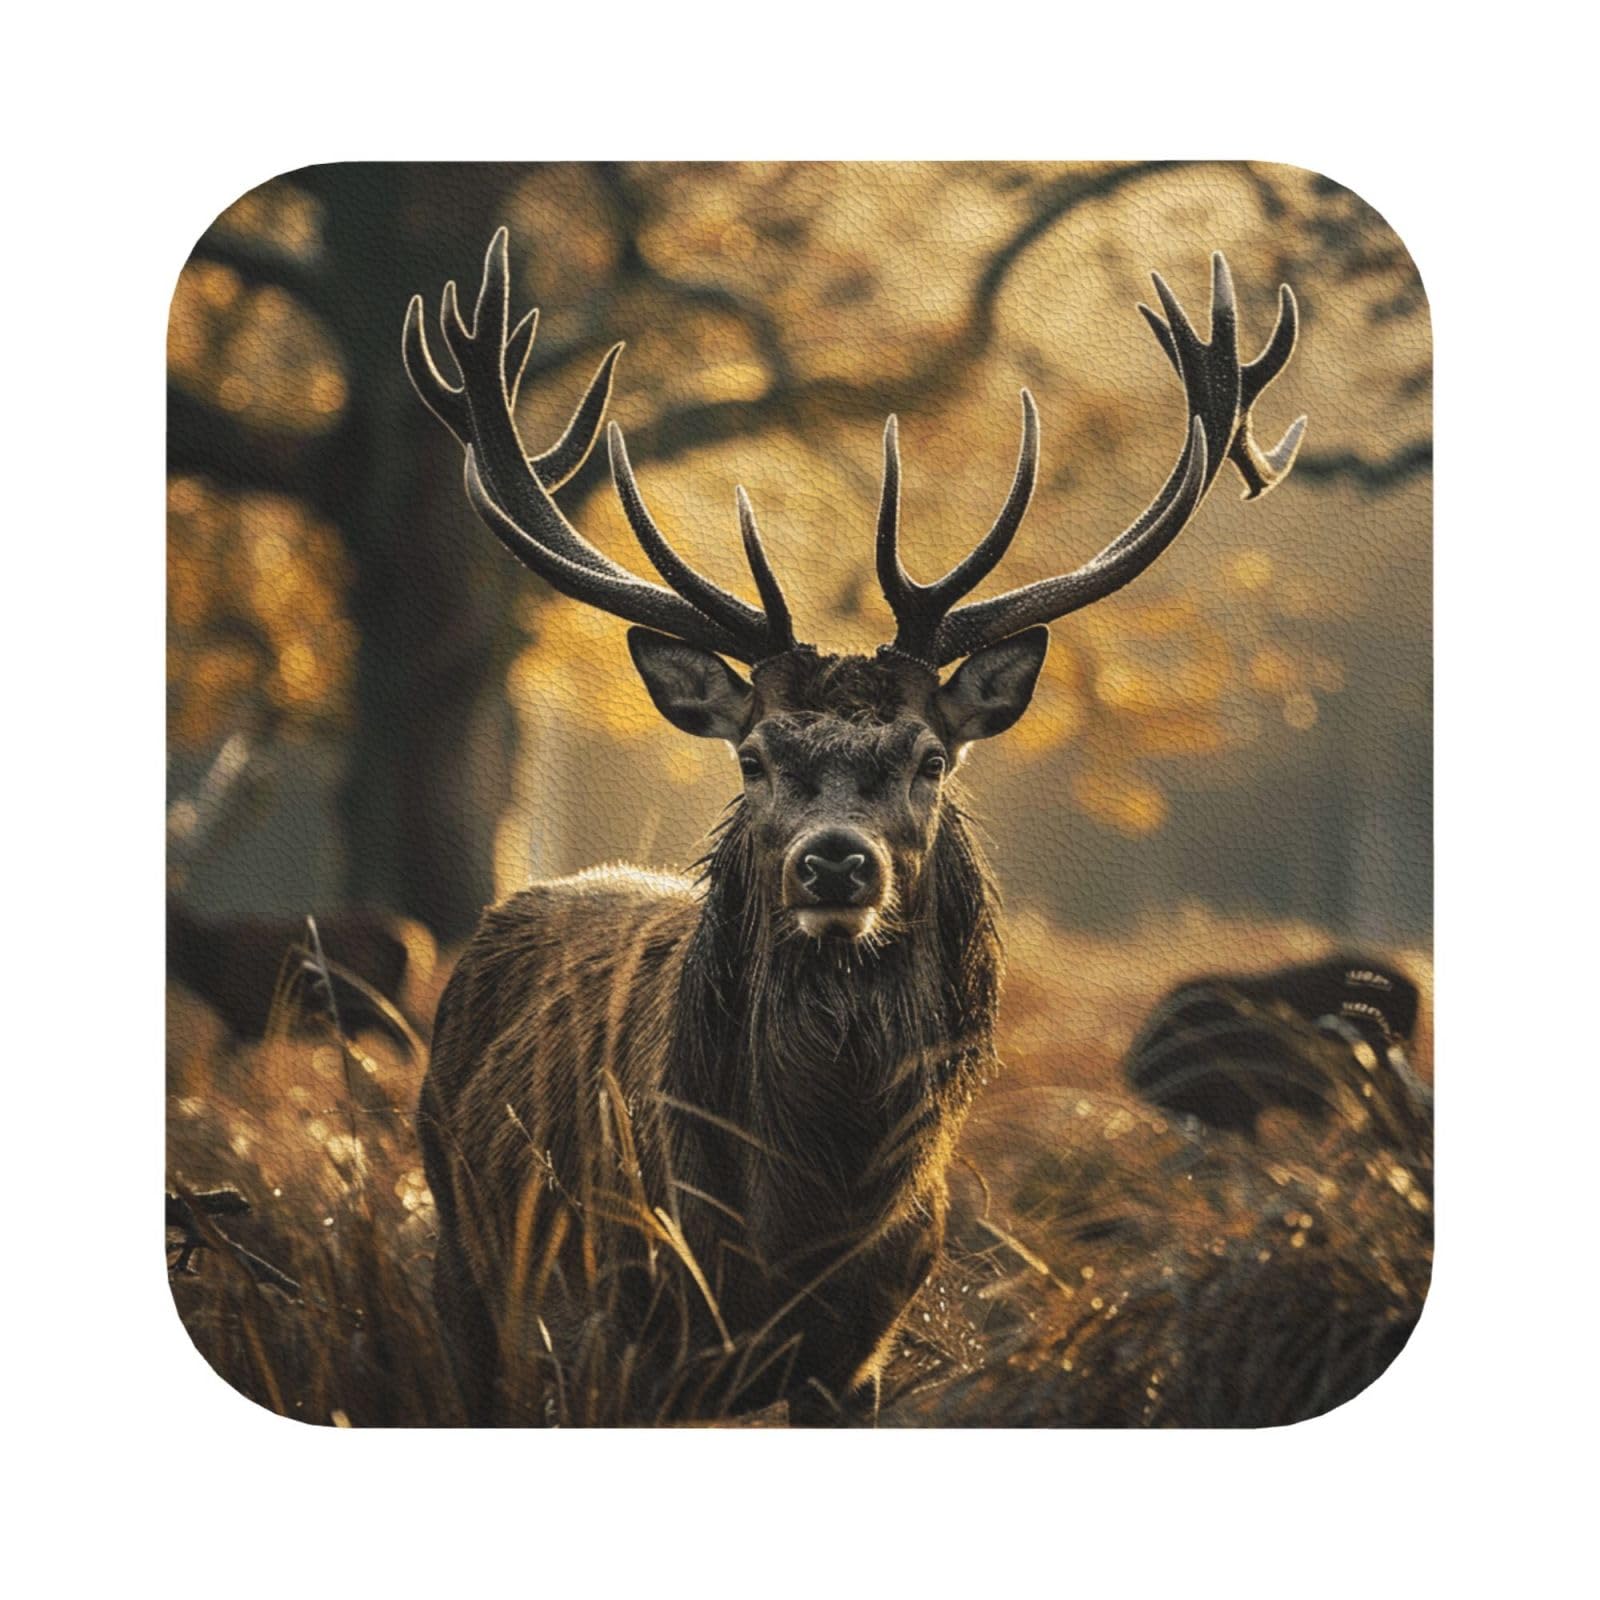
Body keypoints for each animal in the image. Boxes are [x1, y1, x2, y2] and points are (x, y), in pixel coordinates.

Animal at [403, 229, 1305, 1424]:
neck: (798, 1226)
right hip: (467, 1262)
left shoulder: (862, 1352)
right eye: (753, 757)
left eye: (928, 758)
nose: (836, 864)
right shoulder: (621, 1328)